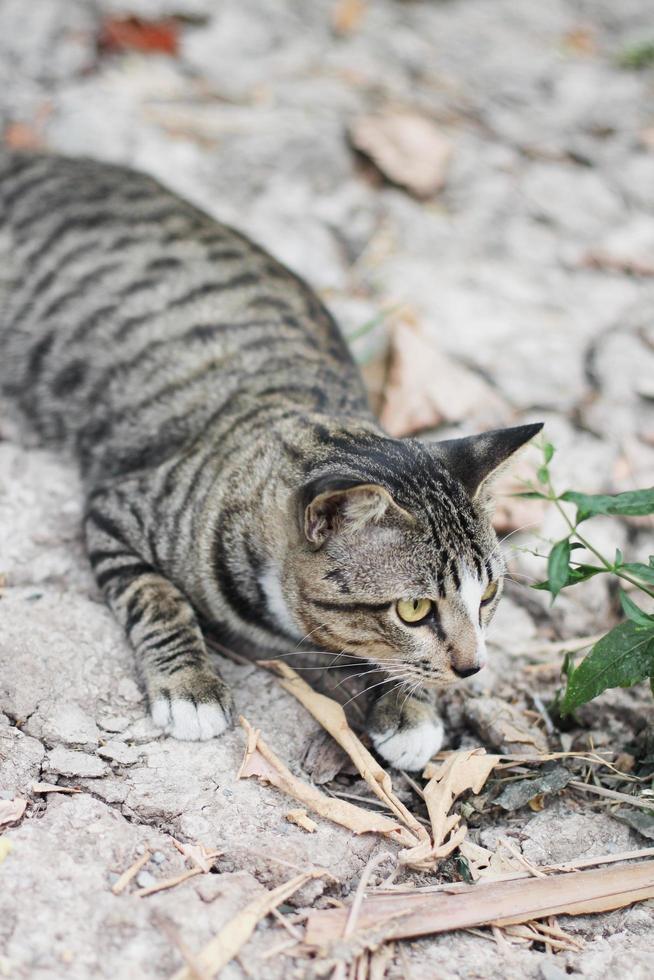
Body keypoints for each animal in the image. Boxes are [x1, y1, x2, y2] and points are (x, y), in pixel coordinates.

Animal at [0, 149, 544, 768]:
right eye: (413, 609)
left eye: (489, 595)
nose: (473, 667)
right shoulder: (116, 510)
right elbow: (157, 597)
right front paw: (189, 687)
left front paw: (408, 707)